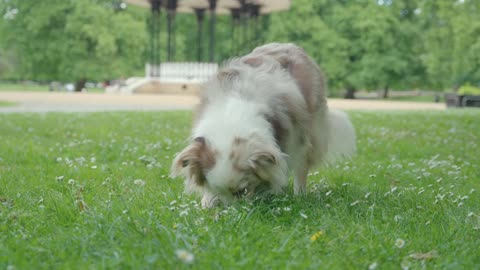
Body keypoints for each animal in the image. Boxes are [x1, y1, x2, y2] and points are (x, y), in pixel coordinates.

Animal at [171, 43, 354, 208]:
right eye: (217, 190)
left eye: (242, 192)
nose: (231, 213)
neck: (231, 117)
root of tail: (291, 46)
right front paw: (208, 201)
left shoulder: (294, 138)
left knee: (302, 166)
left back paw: (299, 195)